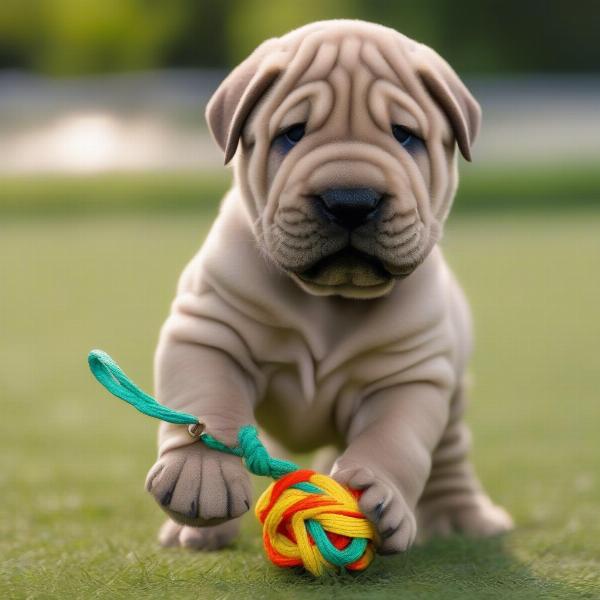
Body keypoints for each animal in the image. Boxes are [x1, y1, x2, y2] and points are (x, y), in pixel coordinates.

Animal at [145, 18, 510, 552]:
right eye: (292, 135)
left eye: (405, 137)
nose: (351, 200)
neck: (331, 299)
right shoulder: (208, 331)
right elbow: (207, 403)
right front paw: (201, 476)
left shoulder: (408, 374)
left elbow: (393, 440)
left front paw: (377, 494)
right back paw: (194, 534)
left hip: (452, 392)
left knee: (449, 457)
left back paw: (467, 519)